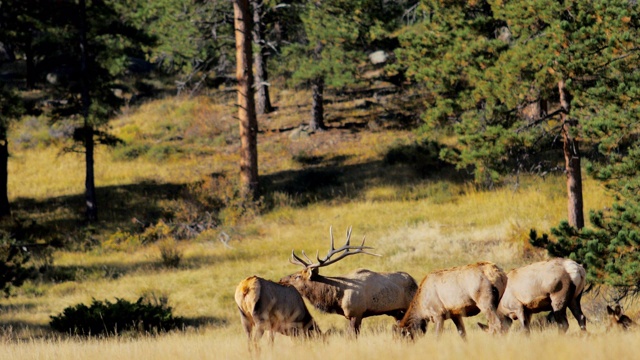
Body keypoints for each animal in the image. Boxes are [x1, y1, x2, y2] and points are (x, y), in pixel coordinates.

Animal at [278, 228, 418, 334]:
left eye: (297, 276)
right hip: (397, 312)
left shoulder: (356, 313)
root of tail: (416, 283)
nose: (281, 279)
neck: (337, 298)